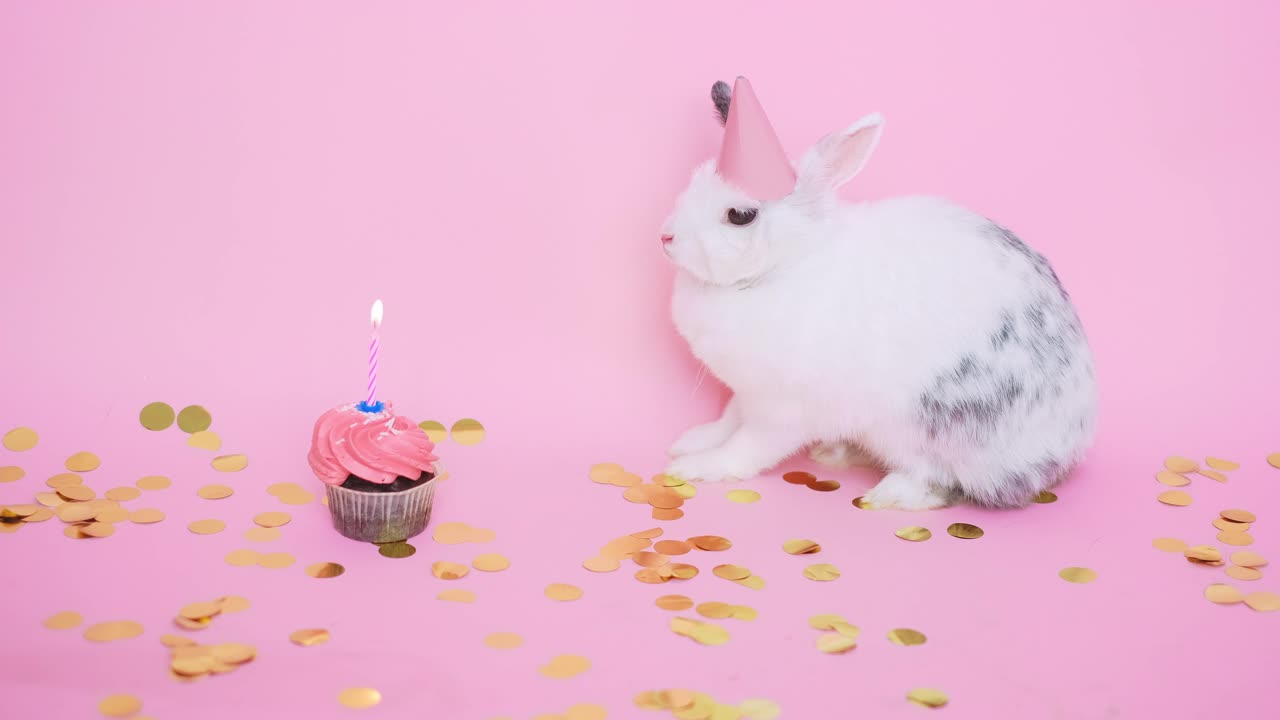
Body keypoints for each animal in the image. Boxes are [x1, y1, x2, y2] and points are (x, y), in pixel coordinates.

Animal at [665, 77, 1095, 509]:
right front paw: (690, 441)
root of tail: (1069, 447)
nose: (666, 237)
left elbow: (749, 447)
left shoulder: (783, 409)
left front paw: (698, 466)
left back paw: (888, 494)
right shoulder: (746, 392)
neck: (787, 264)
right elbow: (729, 418)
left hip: (922, 429)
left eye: (740, 216)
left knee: (938, 480)